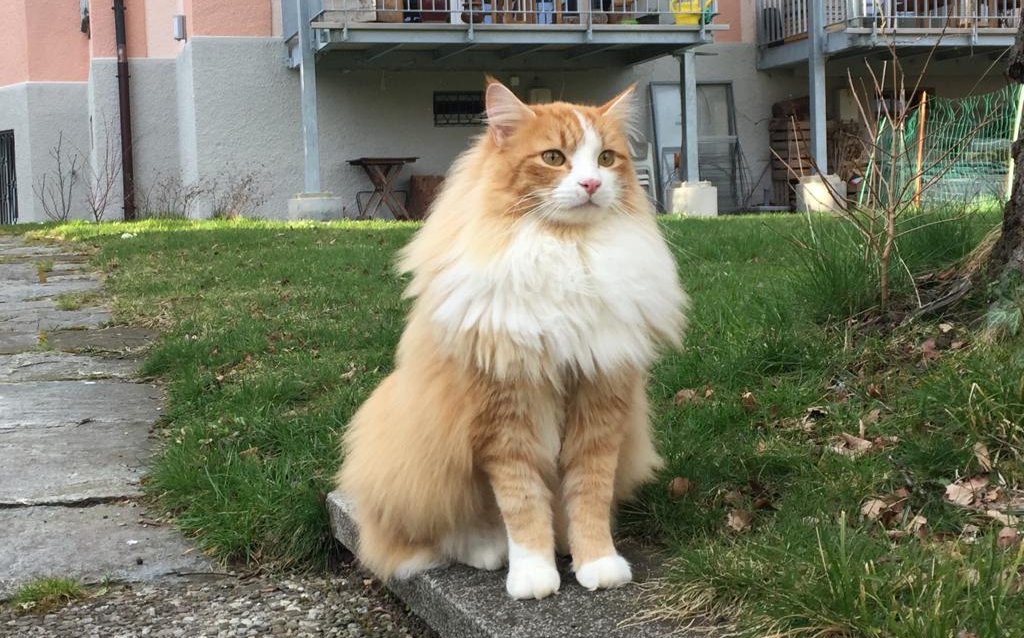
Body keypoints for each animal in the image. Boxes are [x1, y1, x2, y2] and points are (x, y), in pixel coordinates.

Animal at [337, 77, 688, 602]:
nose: (591, 185)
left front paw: (595, 562)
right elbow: (522, 504)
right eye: (554, 158)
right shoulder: (506, 416)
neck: (566, 252)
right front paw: (532, 576)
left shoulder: (600, 401)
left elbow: (588, 493)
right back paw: (488, 550)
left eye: (606, 159)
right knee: (447, 533)